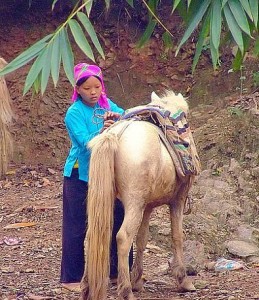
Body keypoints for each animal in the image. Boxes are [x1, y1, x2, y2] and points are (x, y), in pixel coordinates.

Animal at [81, 91, 199, 300]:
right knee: (123, 238)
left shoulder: (148, 206)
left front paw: (137, 279)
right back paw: (126, 290)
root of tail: (115, 135)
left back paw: (88, 288)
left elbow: (142, 239)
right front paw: (183, 280)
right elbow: (177, 236)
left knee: (90, 237)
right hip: (134, 203)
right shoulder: (177, 201)